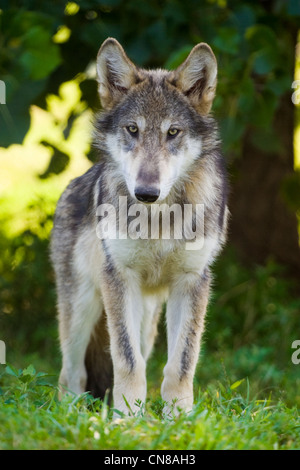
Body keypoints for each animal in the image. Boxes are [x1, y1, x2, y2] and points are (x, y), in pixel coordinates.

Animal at [51, 38, 227, 416]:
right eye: (133, 129)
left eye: (172, 132)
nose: (146, 192)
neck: (157, 220)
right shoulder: (119, 279)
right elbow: (127, 361)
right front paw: (126, 419)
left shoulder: (191, 281)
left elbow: (180, 363)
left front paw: (180, 418)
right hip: (83, 308)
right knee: (71, 373)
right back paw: (72, 416)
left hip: (147, 317)